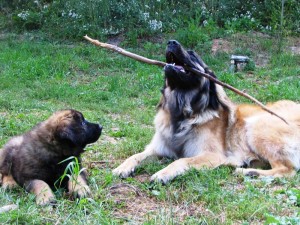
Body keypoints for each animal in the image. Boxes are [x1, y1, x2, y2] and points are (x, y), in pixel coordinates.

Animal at [112, 39, 300, 184]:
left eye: (192, 54)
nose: (171, 42)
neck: (183, 113)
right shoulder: (158, 148)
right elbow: (136, 155)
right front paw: (122, 167)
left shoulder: (212, 155)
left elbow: (182, 160)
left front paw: (163, 173)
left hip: (257, 127)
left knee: (287, 169)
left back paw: (248, 172)